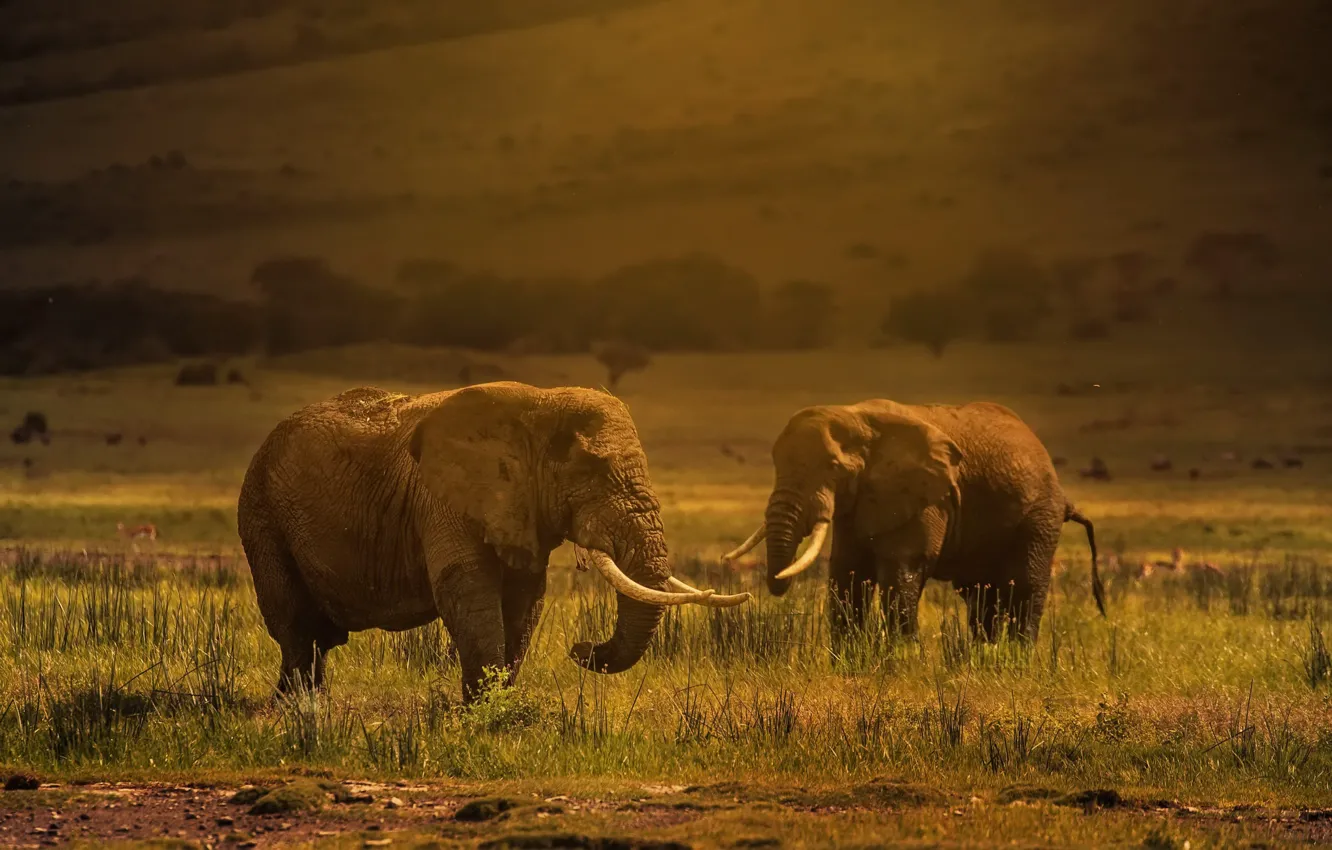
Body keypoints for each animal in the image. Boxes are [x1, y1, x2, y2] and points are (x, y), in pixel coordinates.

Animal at [237, 381, 749, 703]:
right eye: (592, 471)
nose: (581, 648)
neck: (540, 403)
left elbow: (526, 600)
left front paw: (498, 706)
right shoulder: (442, 497)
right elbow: (467, 589)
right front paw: (481, 713)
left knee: (318, 637)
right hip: (262, 516)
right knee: (295, 625)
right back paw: (298, 708)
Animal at [721, 399, 1103, 645]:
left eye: (832, 466)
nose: (772, 586)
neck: (856, 415)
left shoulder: (926, 496)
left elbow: (901, 568)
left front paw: (901, 660)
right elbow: (847, 571)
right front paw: (849, 659)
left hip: (1039, 517)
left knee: (1024, 585)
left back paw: (1016, 657)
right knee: (981, 595)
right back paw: (987, 655)